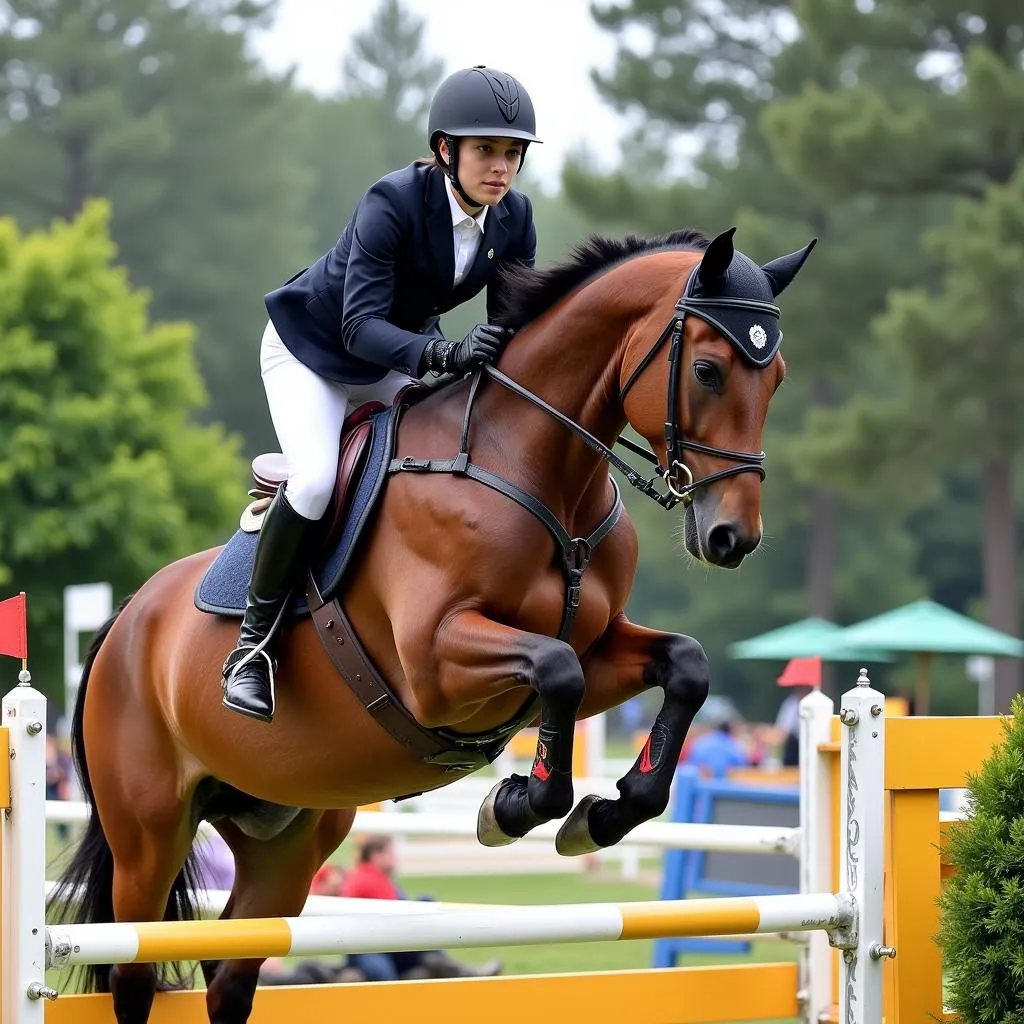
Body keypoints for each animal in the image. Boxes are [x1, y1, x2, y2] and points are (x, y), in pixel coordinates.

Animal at [49, 220, 815, 1019]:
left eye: (777, 378)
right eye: (707, 370)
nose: (731, 537)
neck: (539, 472)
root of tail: (123, 623)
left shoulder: (599, 647)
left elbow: (683, 666)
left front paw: (605, 813)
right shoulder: (436, 666)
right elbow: (556, 673)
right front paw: (511, 806)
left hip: (287, 834)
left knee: (230, 969)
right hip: (148, 832)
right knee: (133, 968)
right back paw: (248, 679)